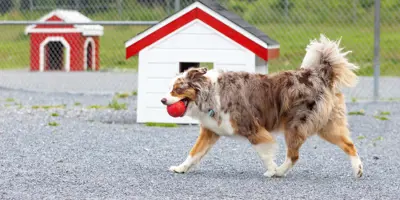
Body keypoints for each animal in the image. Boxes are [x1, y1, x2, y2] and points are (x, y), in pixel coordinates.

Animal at [159, 34, 362, 178]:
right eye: (170, 89)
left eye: (177, 89)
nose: (162, 100)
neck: (210, 93)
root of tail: (319, 75)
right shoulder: (210, 132)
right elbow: (194, 153)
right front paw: (180, 168)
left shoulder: (252, 128)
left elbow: (265, 154)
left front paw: (271, 170)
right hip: (327, 125)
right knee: (349, 144)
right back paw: (358, 169)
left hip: (295, 125)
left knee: (294, 155)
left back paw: (280, 172)